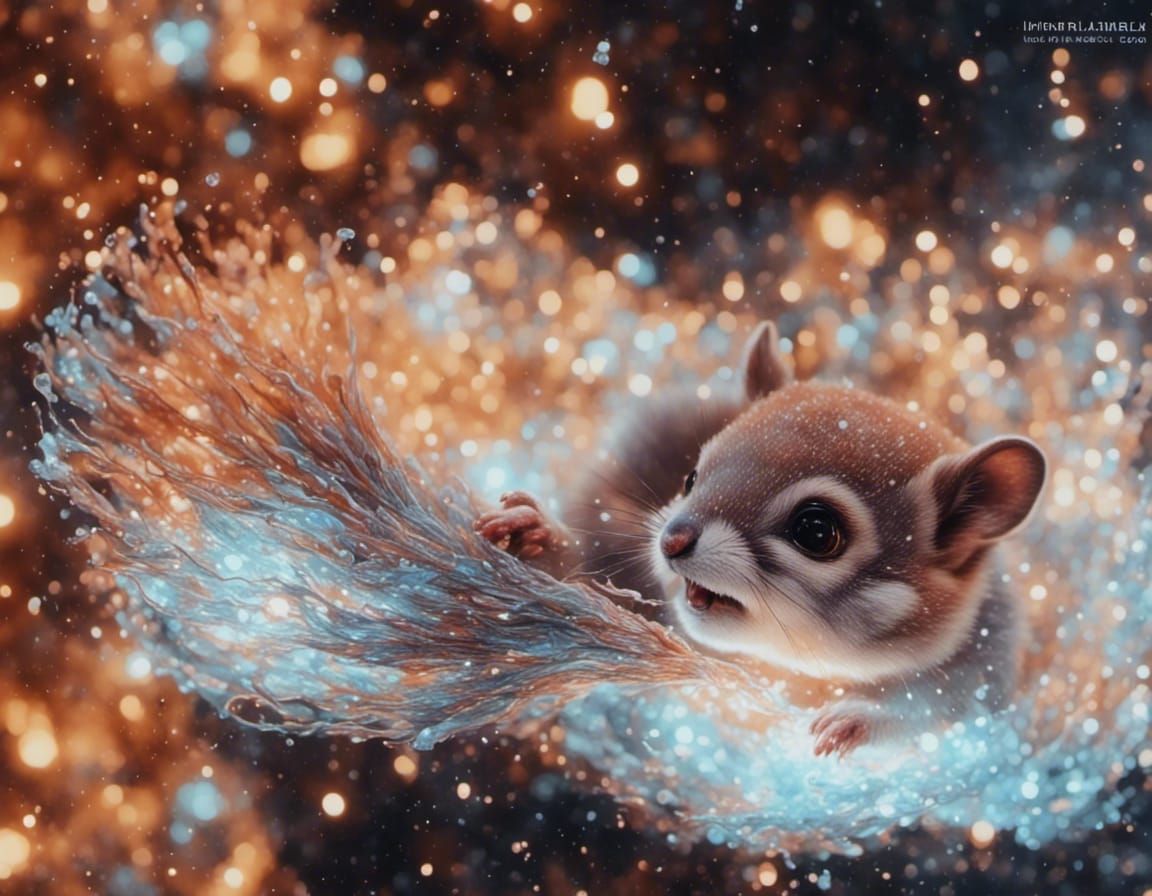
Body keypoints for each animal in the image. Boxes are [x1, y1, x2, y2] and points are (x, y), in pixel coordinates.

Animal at [475, 321, 1047, 757]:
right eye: (690, 477)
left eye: (816, 531)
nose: (671, 541)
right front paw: (543, 539)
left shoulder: (987, 668)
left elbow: (946, 708)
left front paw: (862, 714)